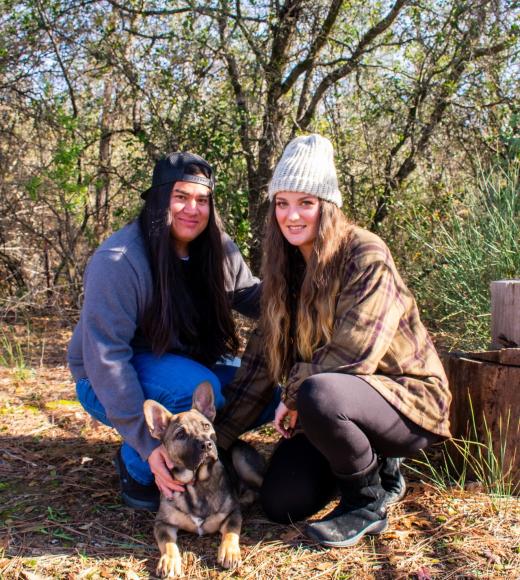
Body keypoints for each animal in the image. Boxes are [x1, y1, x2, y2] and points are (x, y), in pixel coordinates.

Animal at [142, 382, 264, 576]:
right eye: (180, 435)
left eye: (206, 426)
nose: (207, 444)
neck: (196, 483)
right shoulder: (163, 523)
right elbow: (167, 543)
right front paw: (169, 561)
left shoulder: (232, 514)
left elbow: (231, 532)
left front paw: (229, 552)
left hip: (242, 461)